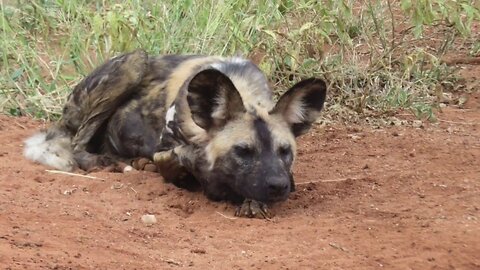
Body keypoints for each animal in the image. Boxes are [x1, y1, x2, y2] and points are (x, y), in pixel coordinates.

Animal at [25, 49, 326, 218]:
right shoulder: (166, 149)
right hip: (133, 62)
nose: (278, 186)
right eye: (242, 151)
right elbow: (180, 158)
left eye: (285, 152)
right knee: (77, 145)